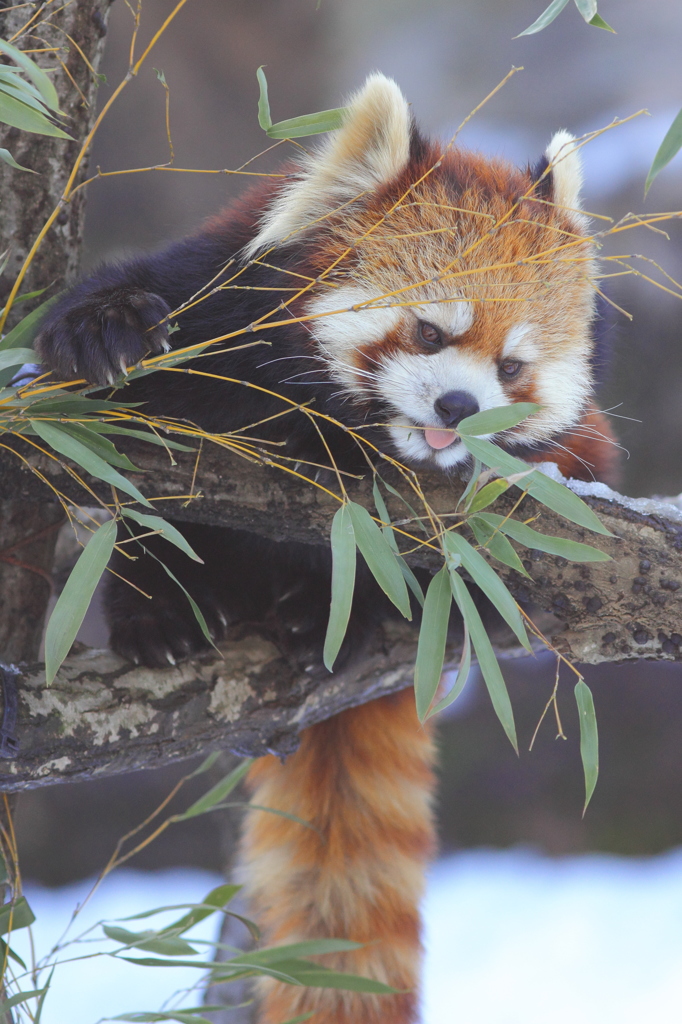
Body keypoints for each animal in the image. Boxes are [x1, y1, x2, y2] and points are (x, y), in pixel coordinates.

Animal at [34, 74, 614, 1024]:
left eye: (512, 368)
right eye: (428, 332)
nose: (458, 408)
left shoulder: (580, 458)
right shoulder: (220, 296)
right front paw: (107, 328)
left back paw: (329, 615)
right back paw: (163, 616)